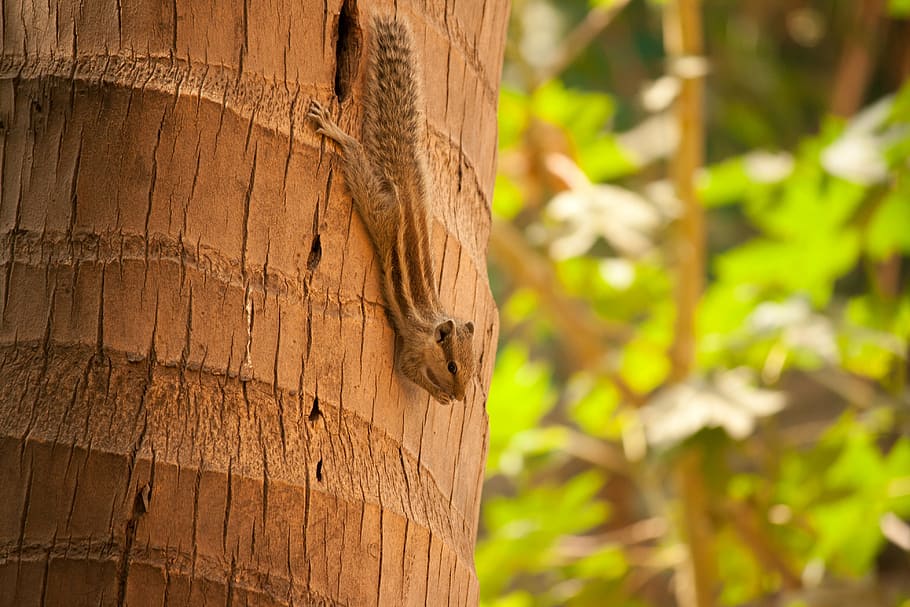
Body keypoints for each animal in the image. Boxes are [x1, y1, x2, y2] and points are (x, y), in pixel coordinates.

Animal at [308, 16, 475, 405]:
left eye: (473, 369)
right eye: (452, 367)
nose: (461, 398)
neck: (431, 327)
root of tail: (410, 194)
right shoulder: (412, 351)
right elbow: (410, 372)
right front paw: (439, 395)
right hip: (379, 207)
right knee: (356, 157)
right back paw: (336, 132)